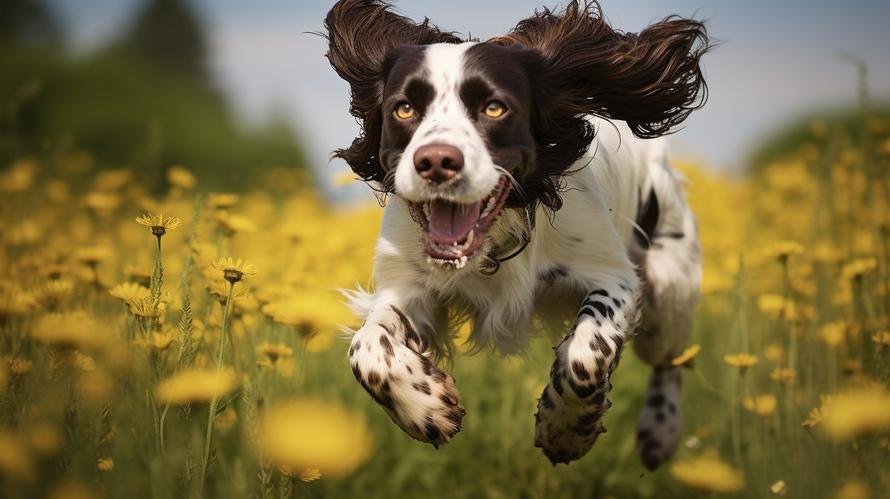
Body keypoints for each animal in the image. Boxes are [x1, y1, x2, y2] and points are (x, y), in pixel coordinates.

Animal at [326, 0, 708, 468]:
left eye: (494, 108)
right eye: (404, 109)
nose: (436, 162)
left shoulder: (614, 276)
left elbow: (586, 353)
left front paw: (565, 429)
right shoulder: (405, 289)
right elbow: (366, 349)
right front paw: (428, 407)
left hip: (667, 294)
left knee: (671, 360)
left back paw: (660, 431)